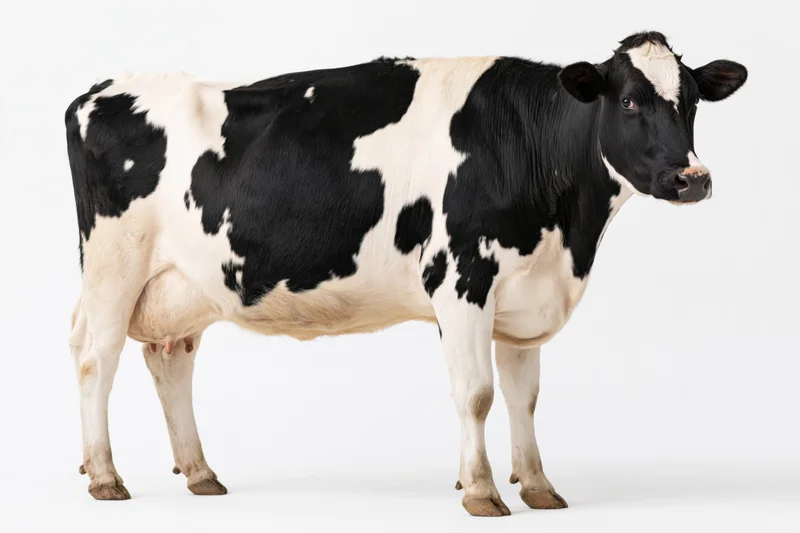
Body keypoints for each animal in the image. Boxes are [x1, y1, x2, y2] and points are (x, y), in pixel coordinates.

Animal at [65, 30, 747, 516]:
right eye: (629, 100)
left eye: (690, 102)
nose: (692, 179)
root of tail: (98, 89)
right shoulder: (463, 278)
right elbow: (476, 394)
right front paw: (481, 491)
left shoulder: (525, 293)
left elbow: (523, 398)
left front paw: (538, 486)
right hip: (113, 264)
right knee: (96, 356)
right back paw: (105, 476)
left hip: (185, 286)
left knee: (170, 360)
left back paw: (201, 474)